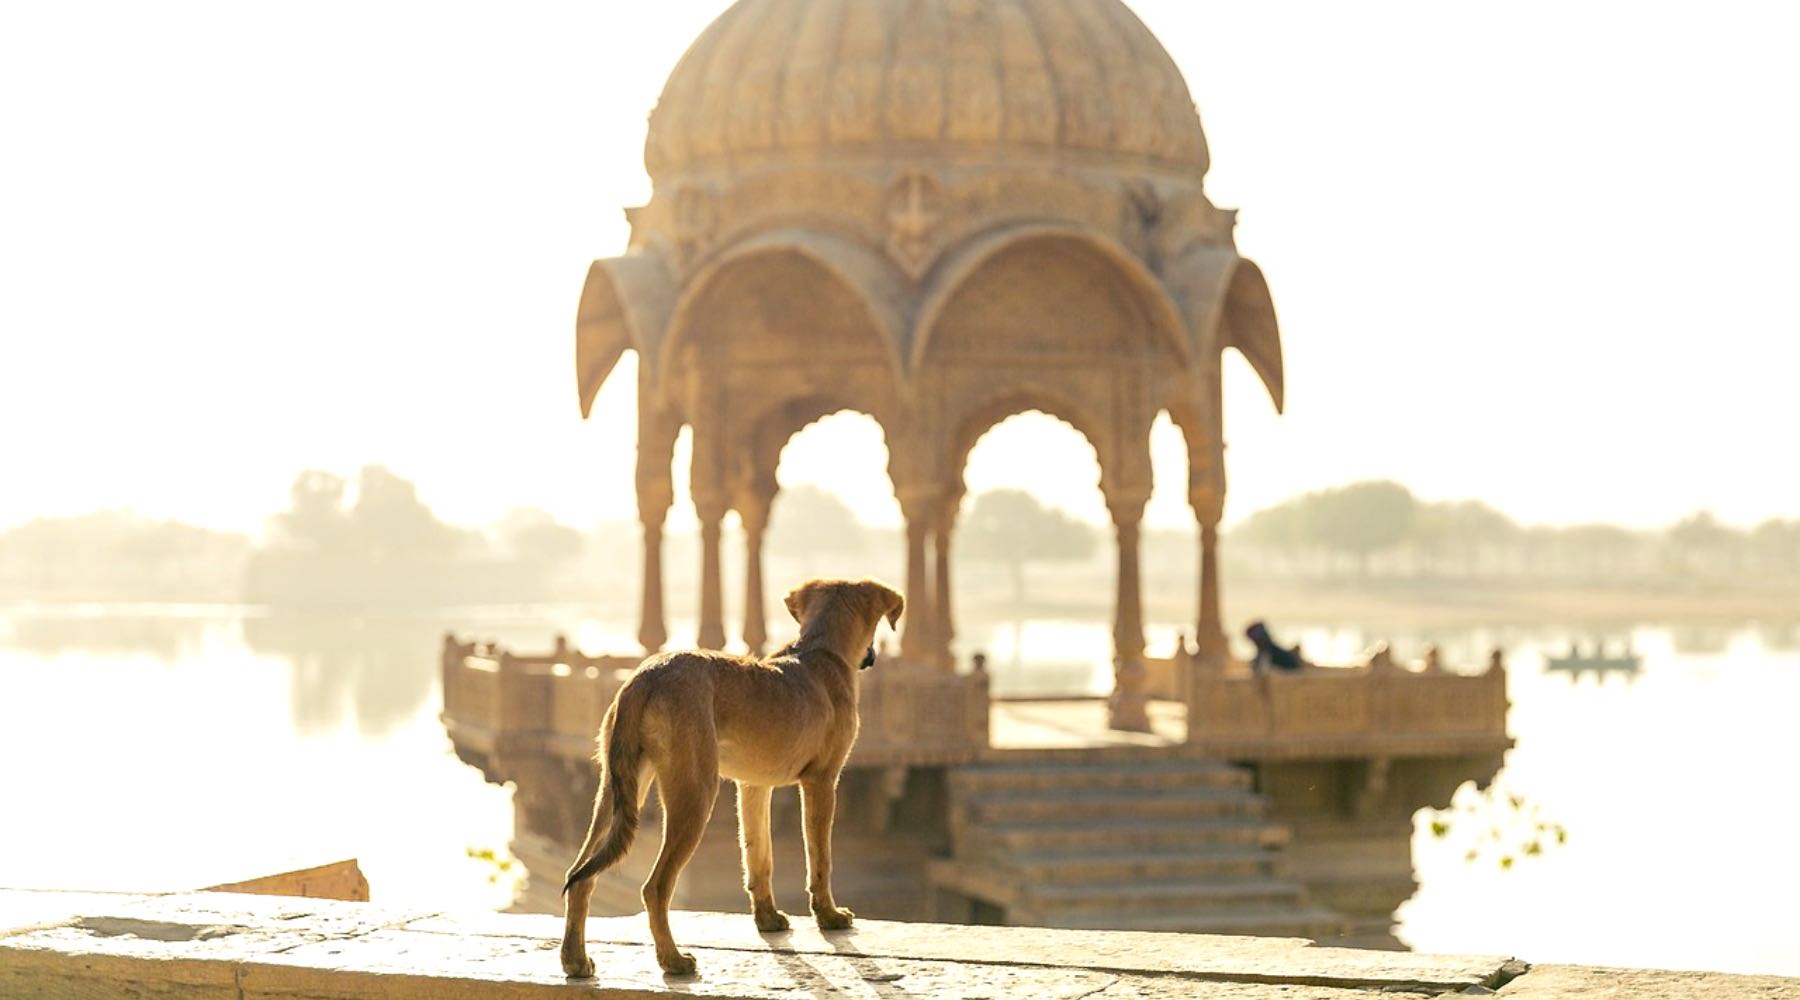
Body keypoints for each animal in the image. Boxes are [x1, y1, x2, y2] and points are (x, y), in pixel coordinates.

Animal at [558, 579, 900, 978]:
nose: (872, 657)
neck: (820, 651)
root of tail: (647, 676)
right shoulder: (822, 781)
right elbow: (820, 860)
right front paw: (829, 916)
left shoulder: (754, 786)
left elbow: (758, 857)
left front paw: (767, 918)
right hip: (694, 794)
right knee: (655, 887)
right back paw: (673, 960)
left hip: (615, 793)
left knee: (581, 875)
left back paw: (575, 960)